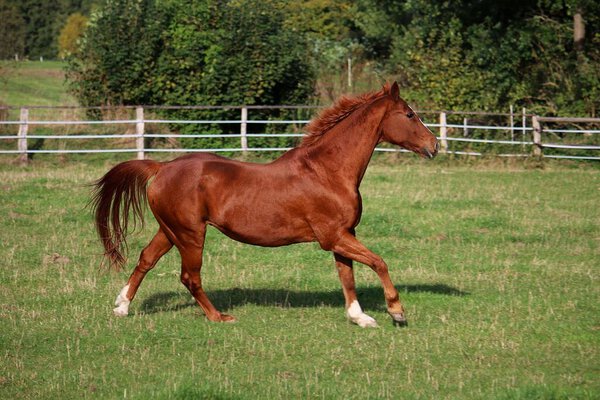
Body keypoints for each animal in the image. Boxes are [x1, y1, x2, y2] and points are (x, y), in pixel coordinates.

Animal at [91, 82, 438, 328]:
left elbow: (347, 276)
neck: (328, 171)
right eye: (410, 114)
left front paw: (359, 317)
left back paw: (122, 306)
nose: (434, 145)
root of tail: (161, 168)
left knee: (146, 259)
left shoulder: (344, 234)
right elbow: (379, 262)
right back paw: (219, 317)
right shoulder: (333, 236)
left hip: (170, 230)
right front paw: (397, 312)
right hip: (190, 235)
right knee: (190, 277)